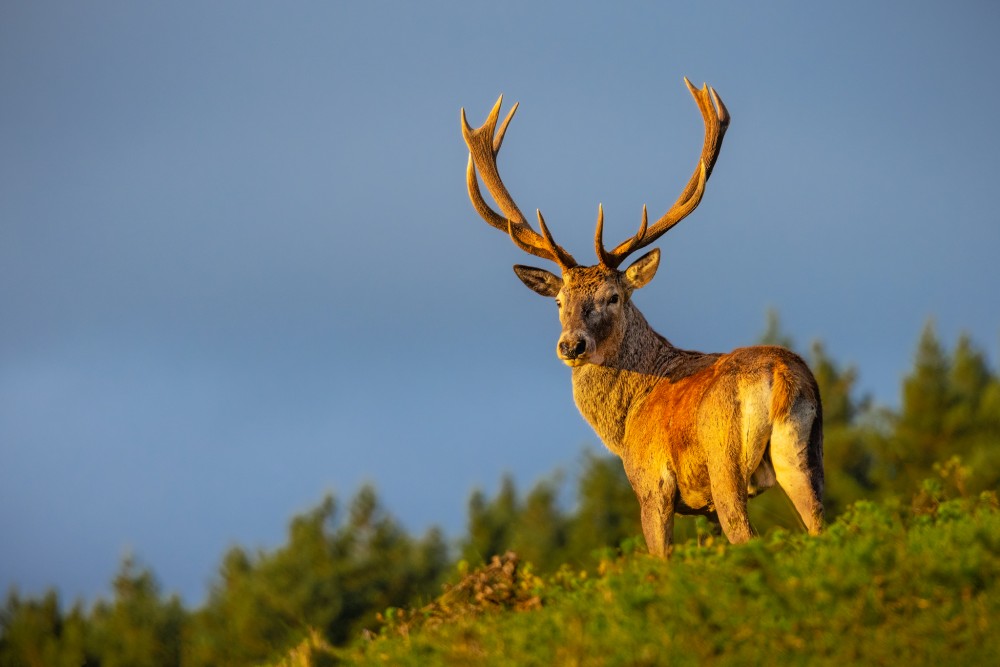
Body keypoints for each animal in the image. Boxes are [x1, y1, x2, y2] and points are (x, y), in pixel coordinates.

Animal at [458, 79, 820, 560]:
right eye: (559, 302)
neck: (626, 420)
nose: (571, 345)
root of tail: (781, 375)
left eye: (612, 297)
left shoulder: (652, 483)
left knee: (746, 533)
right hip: (806, 454)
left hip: (724, 460)